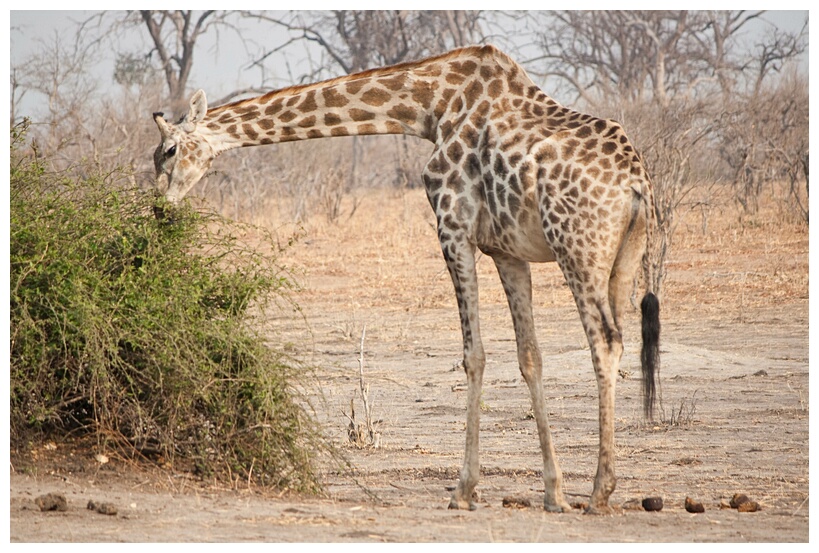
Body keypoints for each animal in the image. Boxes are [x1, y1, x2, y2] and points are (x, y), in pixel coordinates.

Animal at [151, 44, 660, 512]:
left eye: (168, 151)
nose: (157, 208)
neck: (429, 108)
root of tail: (637, 183)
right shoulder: (507, 251)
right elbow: (529, 356)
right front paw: (553, 492)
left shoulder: (452, 227)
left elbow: (473, 355)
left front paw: (463, 490)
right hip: (623, 260)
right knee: (616, 340)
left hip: (576, 248)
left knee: (604, 341)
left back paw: (600, 491)